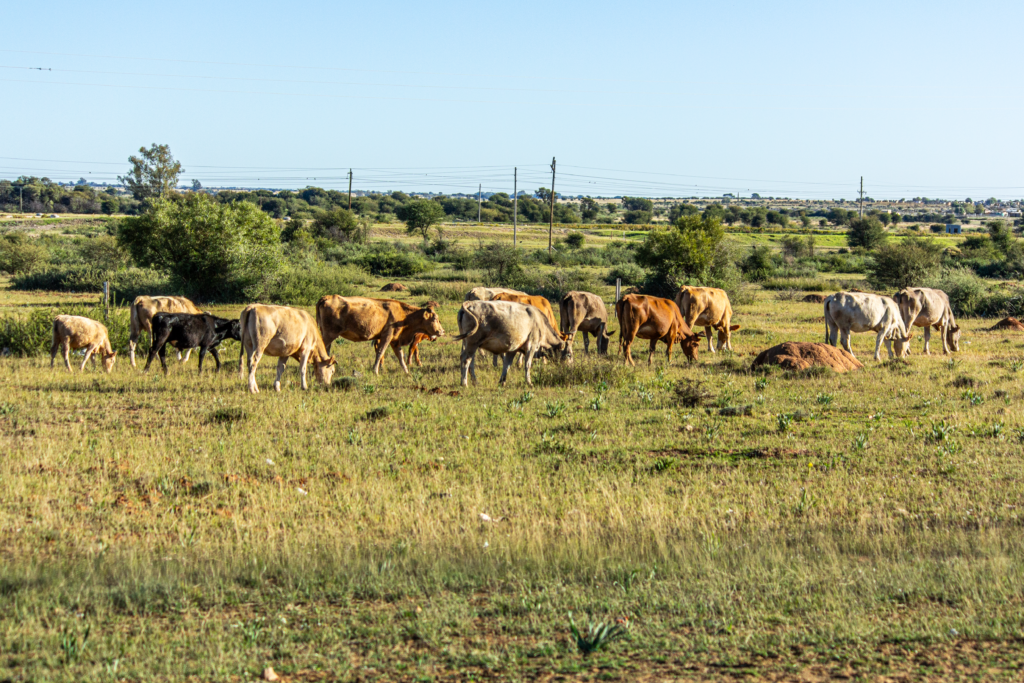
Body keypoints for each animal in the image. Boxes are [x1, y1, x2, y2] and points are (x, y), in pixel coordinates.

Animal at [315, 296, 444, 375]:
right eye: (435, 319)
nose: (442, 331)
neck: (404, 315)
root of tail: (326, 297)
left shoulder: (395, 340)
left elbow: (400, 356)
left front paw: (406, 371)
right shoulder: (387, 336)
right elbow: (380, 352)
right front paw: (375, 370)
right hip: (329, 335)